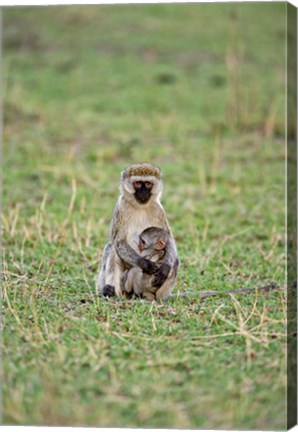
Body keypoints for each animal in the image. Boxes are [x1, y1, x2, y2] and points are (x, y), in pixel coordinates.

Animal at [97, 164, 179, 302]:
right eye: (137, 184)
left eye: (148, 184)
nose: (143, 192)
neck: (140, 206)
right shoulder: (121, 207)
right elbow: (119, 242)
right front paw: (144, 263)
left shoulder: (159, 209)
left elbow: (168, 239)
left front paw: (166, 267)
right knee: (112, 248)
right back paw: (111, 292)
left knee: (176, 261)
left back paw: (159, 298)